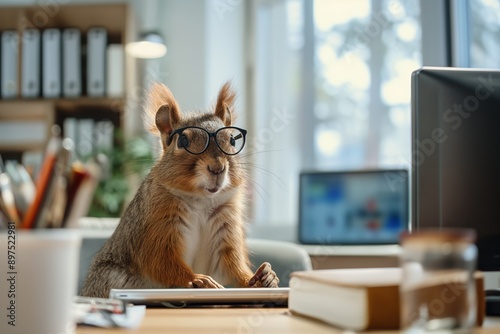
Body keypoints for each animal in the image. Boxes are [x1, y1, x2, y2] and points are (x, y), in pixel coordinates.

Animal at [80, 81, 280, 298]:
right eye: (183, 141)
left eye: (232, 140)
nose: (217, 168)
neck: (202, 200)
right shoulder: (156, 225)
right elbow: (160, 261)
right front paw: (198, 279)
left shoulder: (225, 225)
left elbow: (232, 266)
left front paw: (264, 278)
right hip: (111, 279)